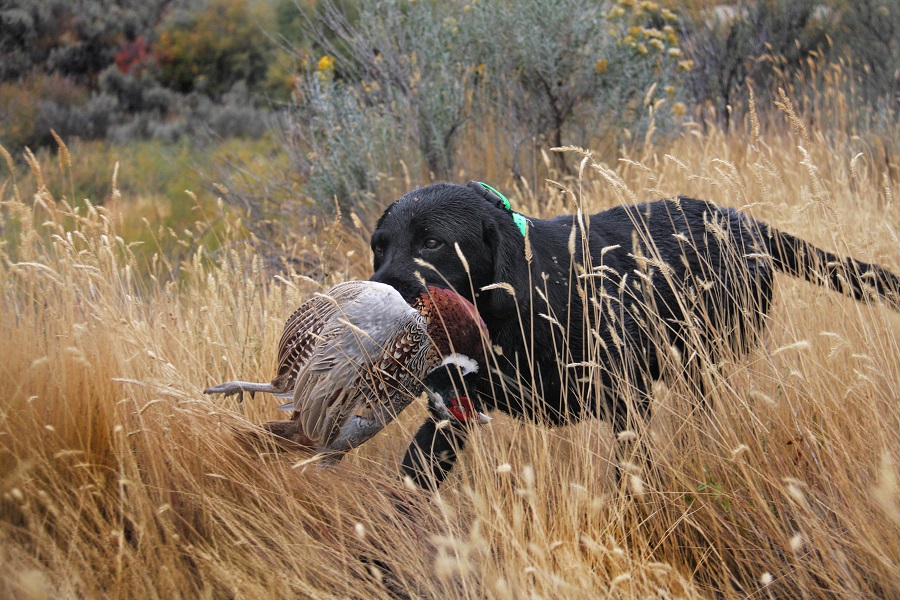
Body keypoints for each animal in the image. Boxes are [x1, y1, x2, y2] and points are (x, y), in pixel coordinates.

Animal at [370, 182, 896, 488]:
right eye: (378, 246)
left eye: (432, 242)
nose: (379, 291)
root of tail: (742, 222)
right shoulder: (452, 409)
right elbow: (414, 475)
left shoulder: (627, 399)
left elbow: (628, 474)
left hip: (705, 358)